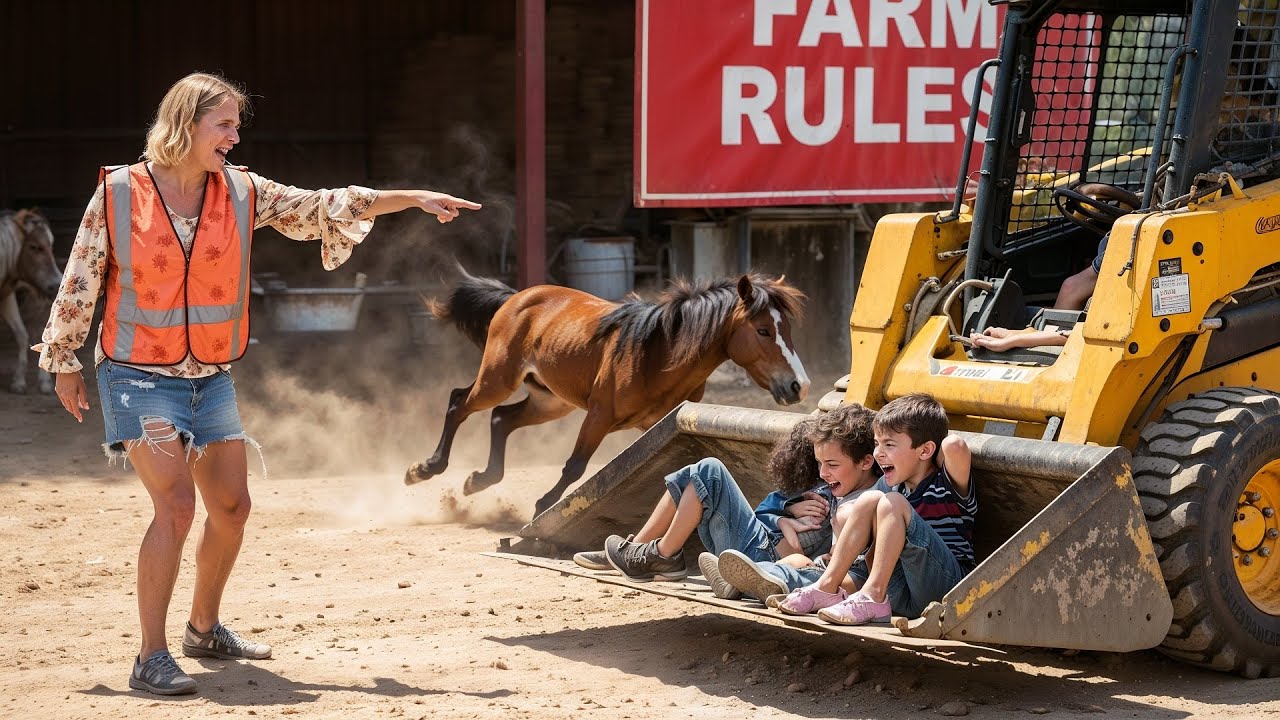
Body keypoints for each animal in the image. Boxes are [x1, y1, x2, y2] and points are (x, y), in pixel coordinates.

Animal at [0, 209, 63, 394]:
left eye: (51, 246)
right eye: (35, 247)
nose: (57, 284)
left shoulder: (7, 296)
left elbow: (22, 335)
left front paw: (18, 381)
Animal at [404, 269, 809, 516]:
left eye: (788, 329)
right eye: (763, 330)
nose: (798, 385)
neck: (658, 353)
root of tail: (515, 298)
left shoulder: (657, 426)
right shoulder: (599, 414)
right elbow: (575, 466)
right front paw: (543, 506)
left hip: (550, 401)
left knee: (501, 419)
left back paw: (479, 480)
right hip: (498, 379)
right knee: (459, 403)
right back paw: (423, 469)